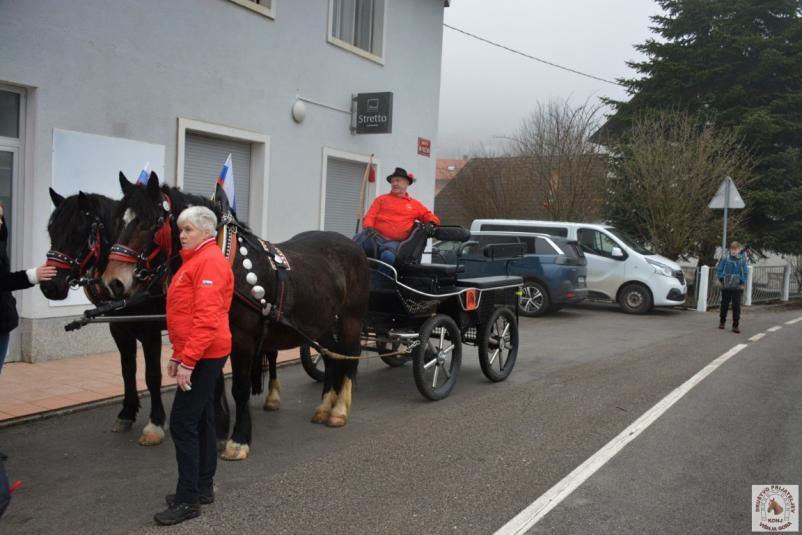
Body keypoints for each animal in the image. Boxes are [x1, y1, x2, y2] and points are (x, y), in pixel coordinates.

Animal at [41, 186, 167, 446]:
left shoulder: (150, 330)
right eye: (51, 230)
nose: (49, 287)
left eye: (78, 231)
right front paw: (127, 413)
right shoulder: (119, 329)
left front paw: (156, 422)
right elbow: (127, 369)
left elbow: (152, 375)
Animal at [99, 175, 368, 460]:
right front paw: (218, 436)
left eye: (150, 223)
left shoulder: (243, 340)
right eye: (118, 221)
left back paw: (339, 410)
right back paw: (325, 406)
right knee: (331, 357)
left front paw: (238, 440)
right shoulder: (214, 339)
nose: (113, 282)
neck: (225, 261)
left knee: (350, 355)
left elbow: (239, 389)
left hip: (350, 319)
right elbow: (215, 388)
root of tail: (354, 245)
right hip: (321, 323)